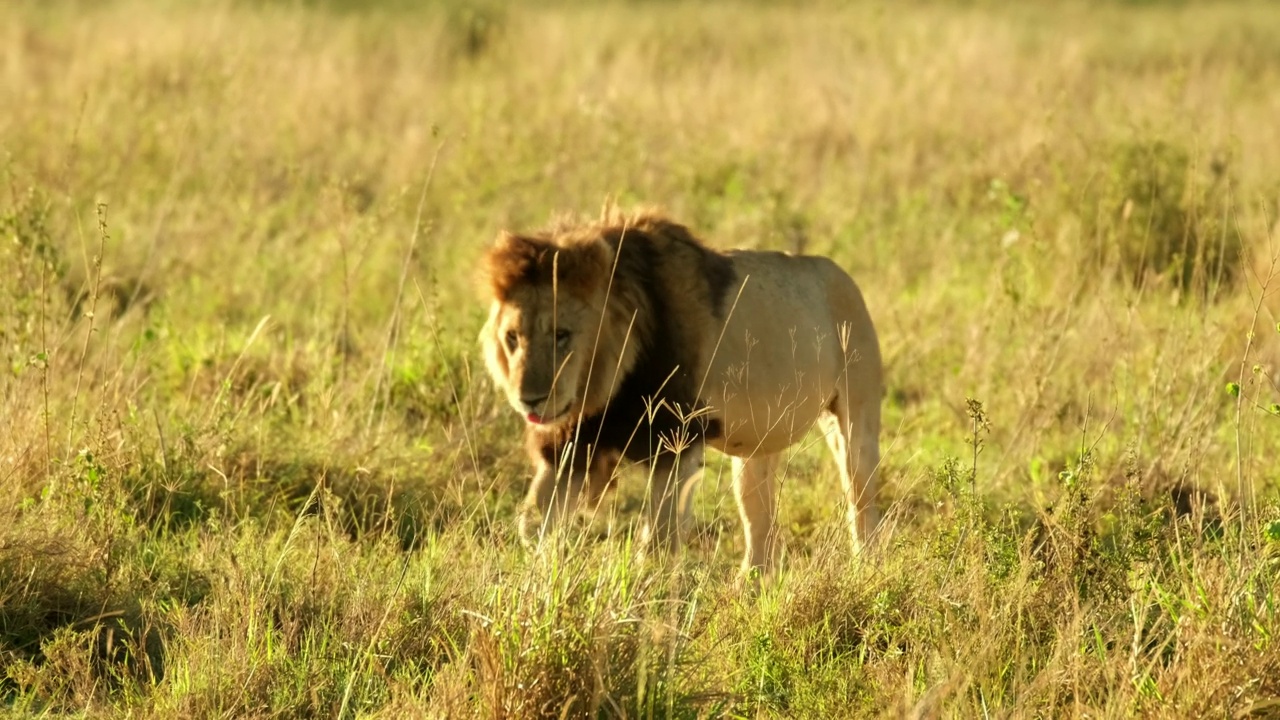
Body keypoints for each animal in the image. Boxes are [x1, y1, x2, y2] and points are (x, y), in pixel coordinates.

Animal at [476, 208, 885, 576]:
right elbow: (532, 523)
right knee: (759, 520)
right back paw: (750, 586)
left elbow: (657, 539)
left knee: (861, 498)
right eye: (513, 337)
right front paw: (544, 575)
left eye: (561, 335)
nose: (529, 399)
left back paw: (865, 570)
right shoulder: (573, 443)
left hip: (854, 421)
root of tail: (843, 276)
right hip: (756, 447)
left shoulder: (676, 440)